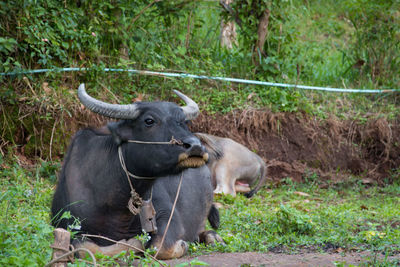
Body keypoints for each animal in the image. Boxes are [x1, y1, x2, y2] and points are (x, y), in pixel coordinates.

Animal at [51, 84, 220, 260]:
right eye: (149, 121)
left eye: (184, 121)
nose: (195, 146)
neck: (114, 206)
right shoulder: (69, 225)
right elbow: (85, 248)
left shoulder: (169, 218)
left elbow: (159, 246)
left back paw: (212, 237)